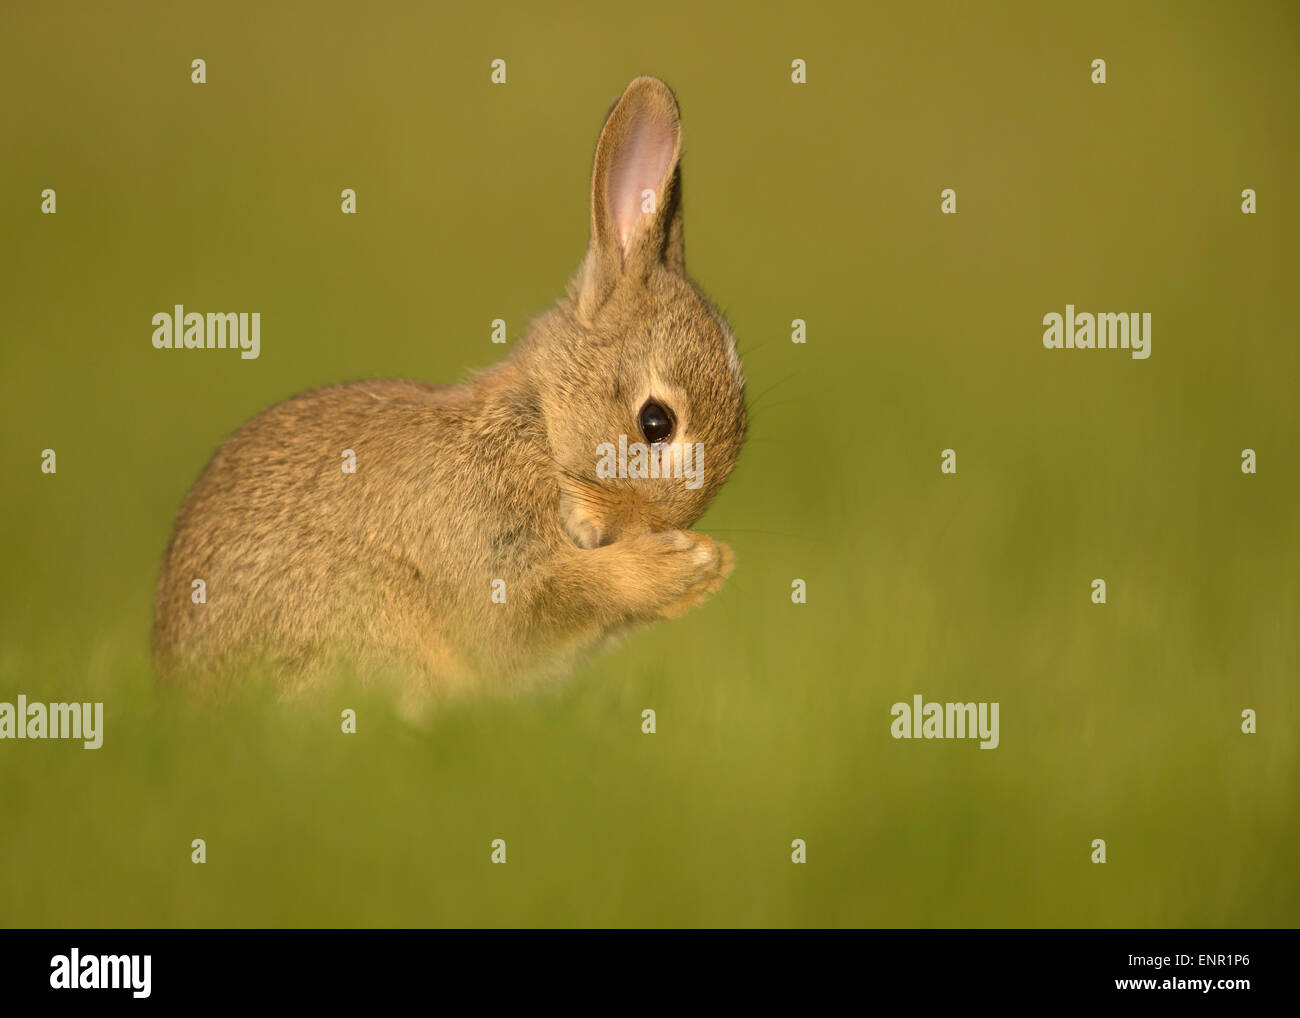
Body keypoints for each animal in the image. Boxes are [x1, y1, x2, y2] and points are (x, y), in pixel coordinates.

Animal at [149, 75, 754, 707]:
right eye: (655, 422)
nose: (633, 534)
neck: (539, 428)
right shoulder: (487, 559)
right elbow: (532, 616)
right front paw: (690, 564)